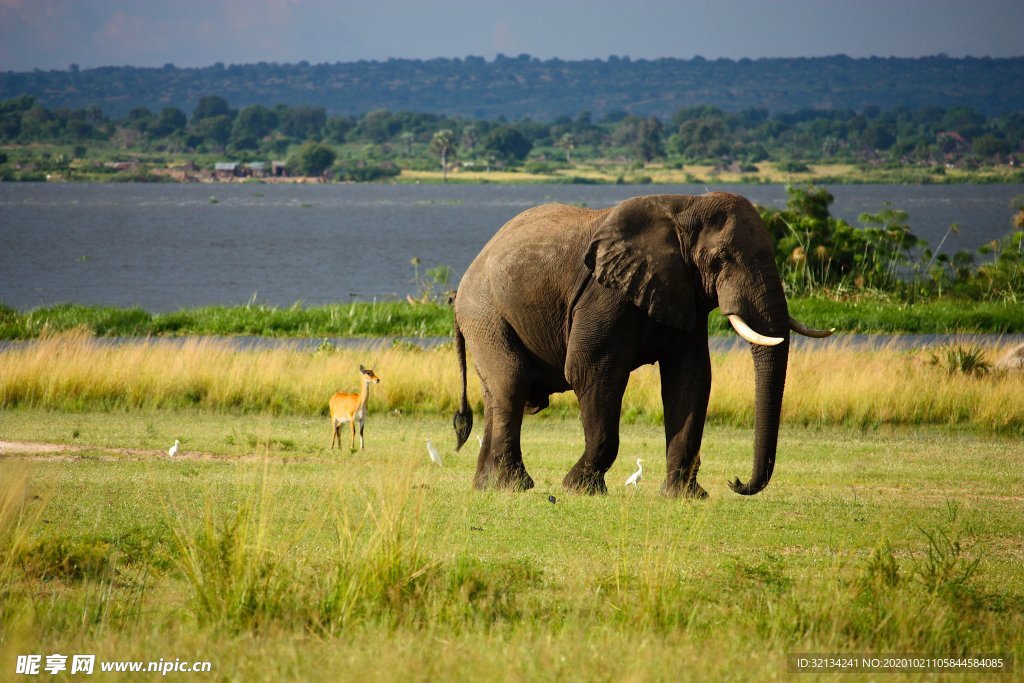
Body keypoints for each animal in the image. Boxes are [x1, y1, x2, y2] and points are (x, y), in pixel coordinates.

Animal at [450, 191, 831, 497]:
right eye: (721, 259)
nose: (736, 482)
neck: (686, 207)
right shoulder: (604, 294)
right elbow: (591, 372)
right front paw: (579, 488)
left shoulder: (683, 291)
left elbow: (690, 379)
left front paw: (685, 495)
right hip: (485, 312)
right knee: (511, 383)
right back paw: (514, 486)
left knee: (496, 393)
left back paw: (487, 485)